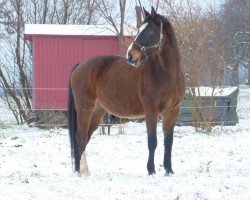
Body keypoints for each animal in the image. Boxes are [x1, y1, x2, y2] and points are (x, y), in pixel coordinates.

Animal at [68, 7, 186, 176]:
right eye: (139, 29)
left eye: (149, 31)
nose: (130, 55)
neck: (167, 74)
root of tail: (80, 65)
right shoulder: (151, 111)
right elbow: (152, 141)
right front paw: (151, 170)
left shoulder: (172, 111)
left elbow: (168, 142)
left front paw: (169, 170)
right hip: (85, 108)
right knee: (81, 136)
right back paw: (84, 171)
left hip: (97, 112)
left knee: (85, 136)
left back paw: (78, 170)